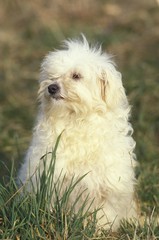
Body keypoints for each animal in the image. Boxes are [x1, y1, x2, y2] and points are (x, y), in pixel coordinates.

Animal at [18, 36, 138, 231]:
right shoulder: (50, 177)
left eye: (76, 76)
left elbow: (104, 212)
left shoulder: (107, 185)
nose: (51, 87)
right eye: (52, 76)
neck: (76, 121)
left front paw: (100, 229)